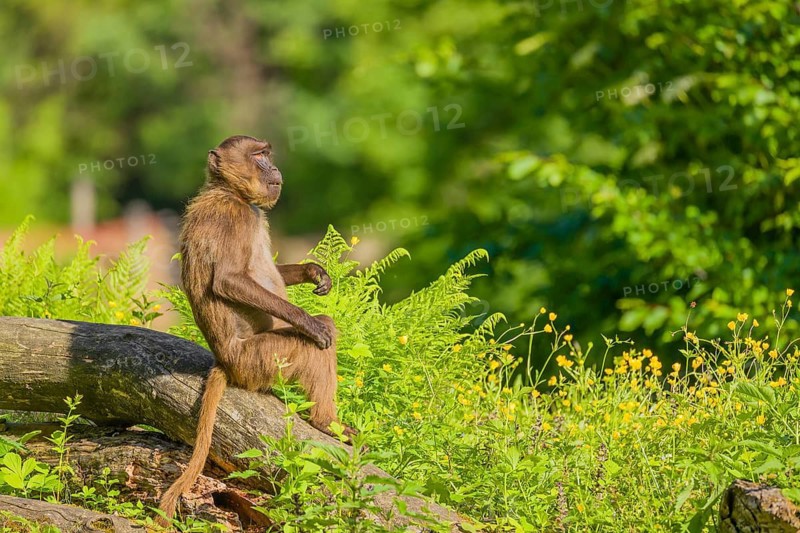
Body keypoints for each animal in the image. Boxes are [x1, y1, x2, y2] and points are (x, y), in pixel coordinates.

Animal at [158, 135, 354, 525]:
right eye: (259, 156)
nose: (275, 168)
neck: (229, 192)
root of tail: (226, 362)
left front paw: (314, 272)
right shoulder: (235, 217)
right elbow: (228, 280)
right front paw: (308, 321)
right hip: (260, 359)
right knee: (315, 344)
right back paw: (326, 422)